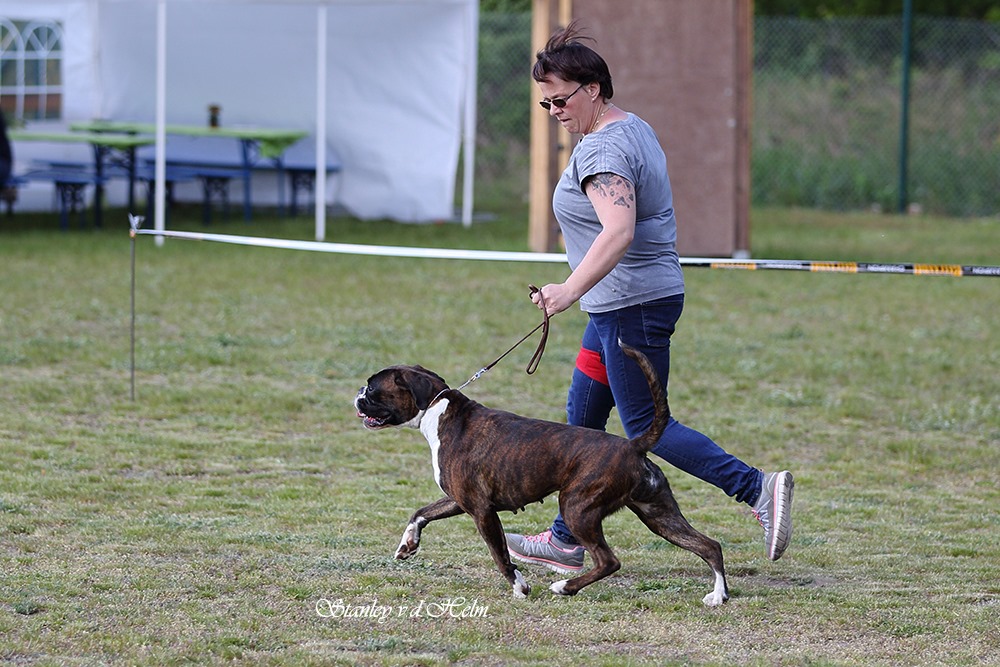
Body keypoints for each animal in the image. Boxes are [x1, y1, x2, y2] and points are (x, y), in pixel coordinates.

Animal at [356, 342, 732, 608]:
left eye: (373, 389)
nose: (357, 397)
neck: (439, 410)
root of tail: (632, 445)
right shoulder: (459, 500)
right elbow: (420, 513)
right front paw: (407, 545)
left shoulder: (480, 510)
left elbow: (500, 556)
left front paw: (520, 587)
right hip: (659, 515)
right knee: (709, 546)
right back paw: (718, 596)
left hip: (578, 509)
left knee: (608, 560)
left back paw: (565, 587)